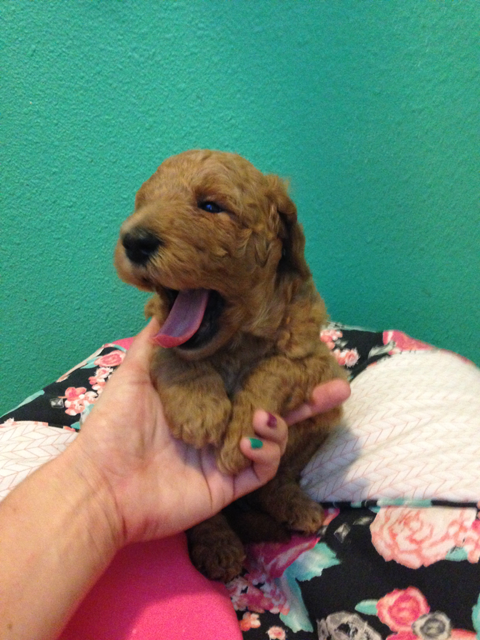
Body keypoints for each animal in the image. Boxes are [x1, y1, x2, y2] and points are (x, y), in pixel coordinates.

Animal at [116, 150, 344, 580]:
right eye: (142, 203)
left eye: (210, 206)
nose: (134, 241)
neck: (235, 344)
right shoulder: (155, 332)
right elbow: (171, 355)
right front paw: (198, 408)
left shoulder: (322, 364)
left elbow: (275, 367)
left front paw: (242, 434)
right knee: (207, 517)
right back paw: (219, 546)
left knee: (276, 480)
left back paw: (296, 507)